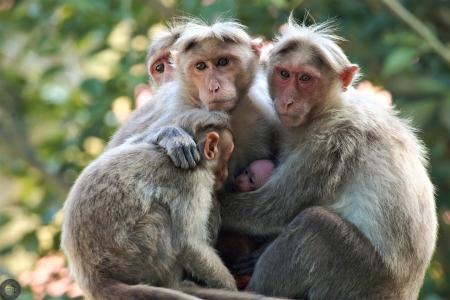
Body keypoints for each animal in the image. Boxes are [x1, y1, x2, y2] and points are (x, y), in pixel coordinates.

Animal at [61, 109, 237, 300]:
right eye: (227, 157)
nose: (225, 173)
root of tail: (92, 277)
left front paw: (168, 135)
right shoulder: (192, 180)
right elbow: (189, 243)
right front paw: (231, 287)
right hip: (132, 259)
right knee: (161, 216)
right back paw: (173, 285)